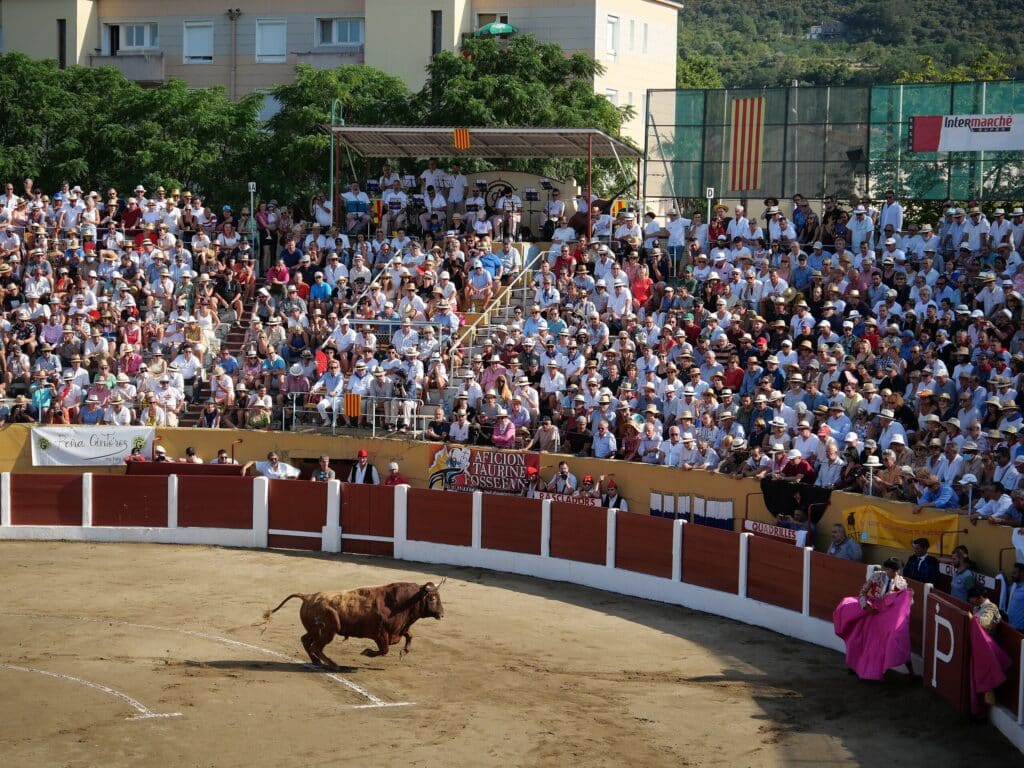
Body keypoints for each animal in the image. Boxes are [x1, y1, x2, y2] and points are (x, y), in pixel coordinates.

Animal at [260, 577, 444, 667]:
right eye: (433, 598)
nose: (442, 614)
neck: (399, 603)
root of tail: (308, 596)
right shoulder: (380, 634)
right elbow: (384, 650)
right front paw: (367, 652)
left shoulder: (398, 629)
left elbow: (409, 635)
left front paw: (403, 652)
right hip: (328, 631)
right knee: (316, 647)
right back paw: (332, 665)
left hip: (316, 630)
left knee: (306, 641)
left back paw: (317, 661)